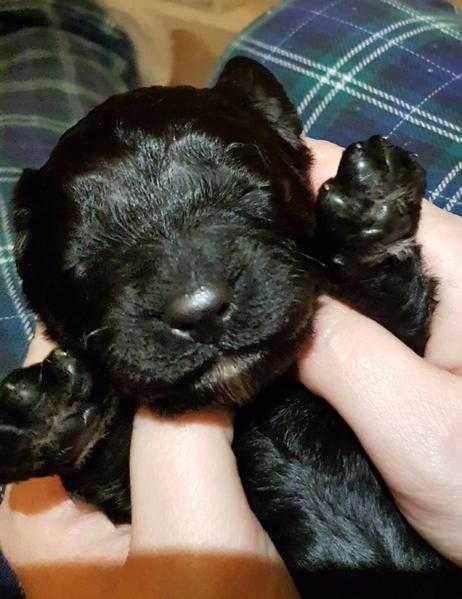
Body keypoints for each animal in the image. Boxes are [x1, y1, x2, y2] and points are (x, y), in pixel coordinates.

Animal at [0, 59, 458, 596]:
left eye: (249, 189)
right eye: (82, 256)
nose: (198, 311)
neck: (258, 403)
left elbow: (388, 308)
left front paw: (371, 206)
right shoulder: (123, 494)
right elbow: (108, 460)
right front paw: (51, 411)